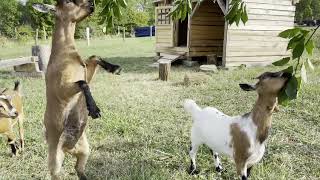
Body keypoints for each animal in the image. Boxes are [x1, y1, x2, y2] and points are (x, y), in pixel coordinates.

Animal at [32, 0, 121, 179]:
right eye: (67, 1)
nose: (91, 3)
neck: (65, 53)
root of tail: (69, 148)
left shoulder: (86, 71)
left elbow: (94, 58)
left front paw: (114, 68)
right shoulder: (62, 89)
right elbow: (82, 83)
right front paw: (94, 109)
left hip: (85, 150)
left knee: (79, 169)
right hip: (55, 159)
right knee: (56, 174)